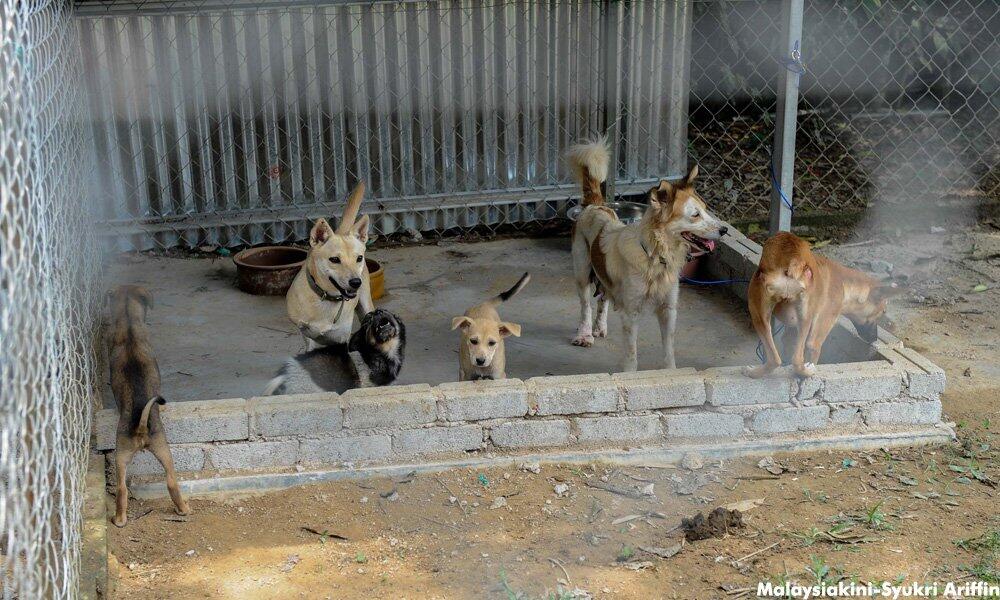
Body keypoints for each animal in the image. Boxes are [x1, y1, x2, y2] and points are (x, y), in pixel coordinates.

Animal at [290, 185, 376, 350]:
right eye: (334, 259)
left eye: (359, 258)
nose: (356, 282)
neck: (326, 298)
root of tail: (341, 231)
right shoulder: (307, 335)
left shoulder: (342, 337)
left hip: (366, 304)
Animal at [572, 139, 728, 372]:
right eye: (695, 215)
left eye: (706, 209)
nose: (725, 230)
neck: (655, 258)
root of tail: (596, 205)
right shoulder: (631, 313)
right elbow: (631, 355)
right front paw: (629, 375)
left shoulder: (668, 310)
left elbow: (669, 350)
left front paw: (670, 372)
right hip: (582, 271)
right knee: (585, 306)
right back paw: (585, 335)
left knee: (603, 299)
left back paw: (600, 327)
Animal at [744, 232, 908, 378]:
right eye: (882, 312)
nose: (874, 339)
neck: (845, 284)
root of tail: (793, 258)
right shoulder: (825, 322)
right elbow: (813, 349)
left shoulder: (792, 329)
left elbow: (787, 343)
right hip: (786, 315)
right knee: (797, 359)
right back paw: (807, 372)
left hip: (768, 317)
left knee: (777, 359)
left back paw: (756, 373)